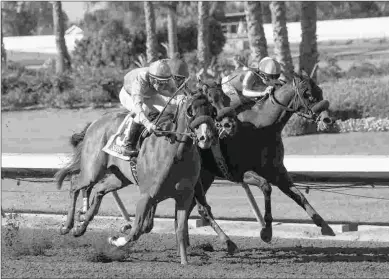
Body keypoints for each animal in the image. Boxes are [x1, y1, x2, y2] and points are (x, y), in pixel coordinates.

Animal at [54, 93, 218, 266]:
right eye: (190, 111)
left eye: (212, 112)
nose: (206, 137)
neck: (175, 154)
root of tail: (96, 122)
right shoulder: (147, 196)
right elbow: (136, 230)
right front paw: (115, 239)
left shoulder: (184, 196)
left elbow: (179, 229)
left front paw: (184, 262)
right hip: (93, 171)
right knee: (75, 184)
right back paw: (67, 226)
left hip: (120, 177)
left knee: (99, 189)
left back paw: (81, 225)